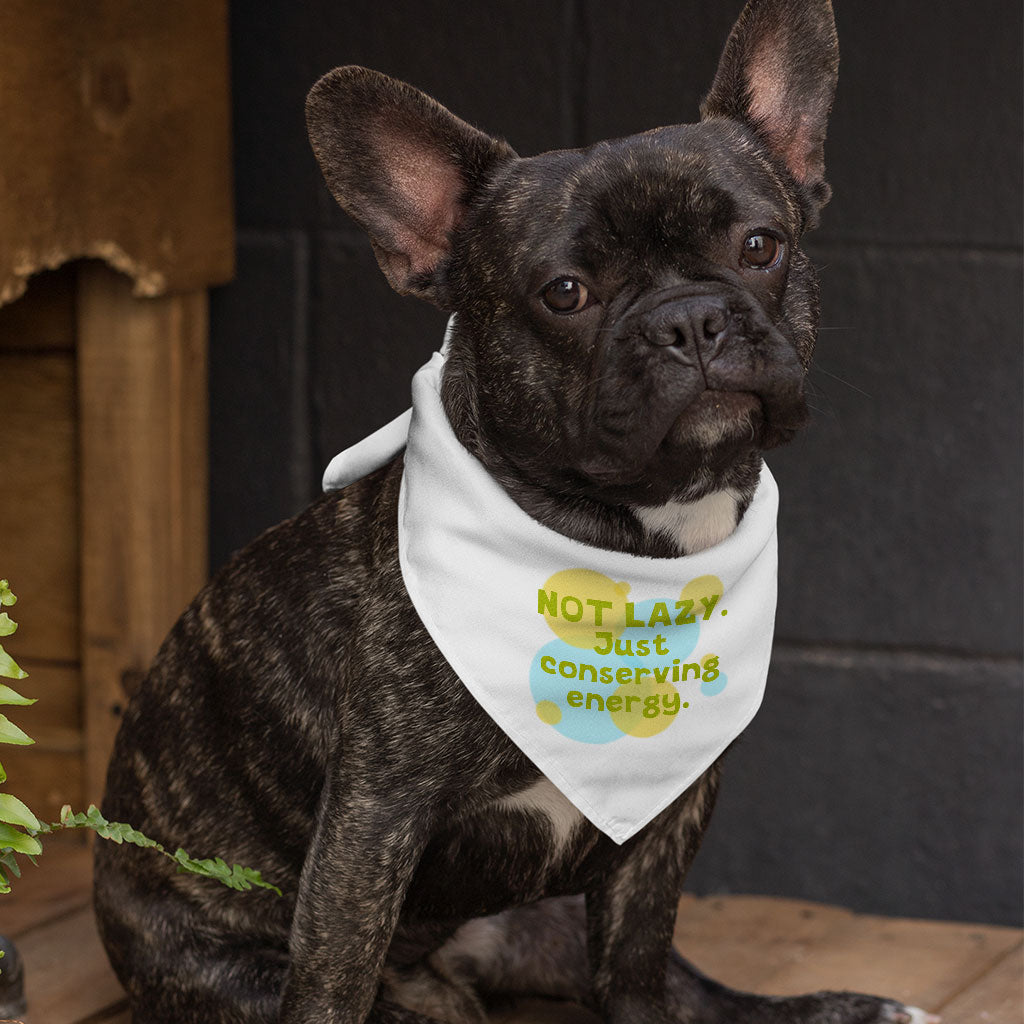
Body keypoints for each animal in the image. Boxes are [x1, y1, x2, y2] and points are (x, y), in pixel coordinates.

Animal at [96, 2, 942, 1024]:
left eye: (760, 246)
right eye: (564, 294)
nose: (691, 319)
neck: (626, 541)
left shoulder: (666, 817)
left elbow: (638, 967)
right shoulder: (371, 822)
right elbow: (333, 976)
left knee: (691, 991)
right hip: (228, 967)